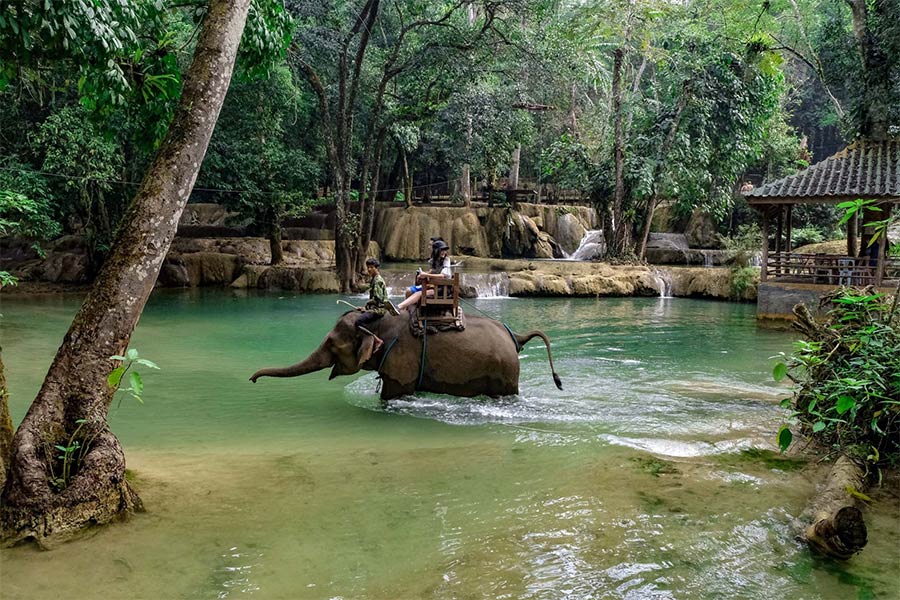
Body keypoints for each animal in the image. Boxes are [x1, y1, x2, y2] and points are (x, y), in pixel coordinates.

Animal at [251, 310, 564, 398]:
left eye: (331, 345)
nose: (252, 380)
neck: (377, 323)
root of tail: (516, 336)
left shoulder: (401, 358)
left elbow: (392, 394)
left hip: (504, 371)